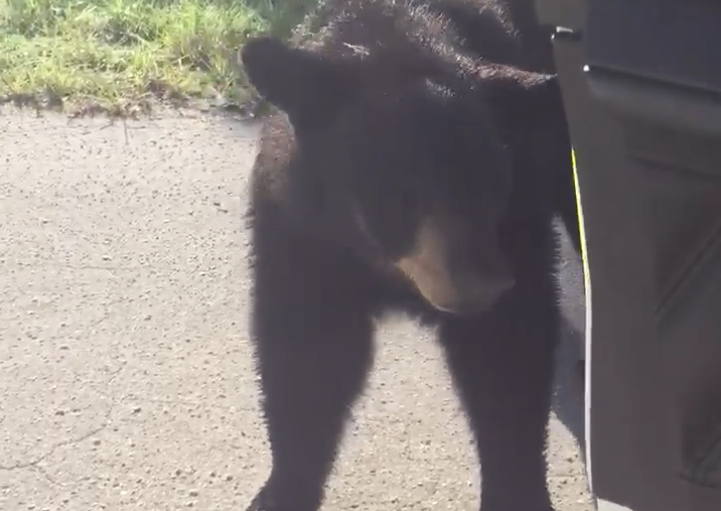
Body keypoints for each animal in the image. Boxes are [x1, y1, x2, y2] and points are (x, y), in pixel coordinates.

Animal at [240, 1, 578, 510]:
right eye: (400, 188)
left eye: (494, 178)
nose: (487, 282)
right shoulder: (305, 235)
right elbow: (308, 353)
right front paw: (284, 487)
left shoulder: (517, 221)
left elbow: (508, 356)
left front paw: (517, 490)